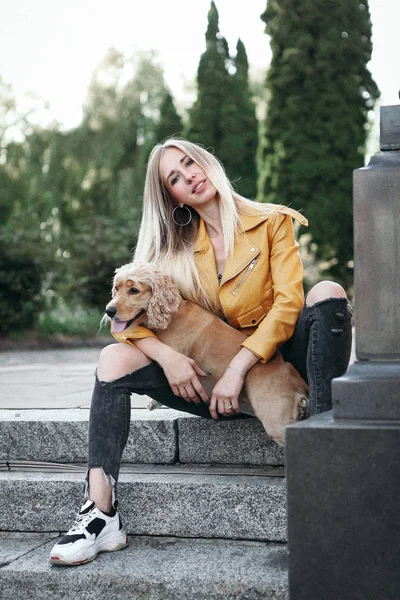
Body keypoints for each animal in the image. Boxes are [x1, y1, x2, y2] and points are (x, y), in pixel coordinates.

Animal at [104, 262, 308, 446]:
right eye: (116, 288)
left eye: (134, 290)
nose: (109, 311)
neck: (172, 313)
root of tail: (296, 380)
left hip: (277, 423)